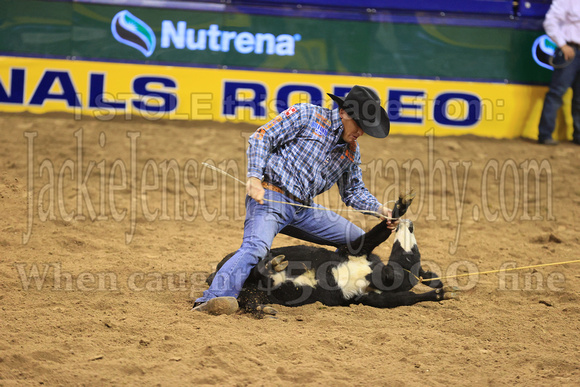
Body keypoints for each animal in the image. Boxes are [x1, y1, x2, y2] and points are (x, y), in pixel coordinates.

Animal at [206, 191, 456, 316]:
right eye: (410, 254)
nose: (409, 224)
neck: (377, 275)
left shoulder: (369, 296)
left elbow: (404, 298)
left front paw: (442, 293)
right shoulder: (355, 249)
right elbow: (376, 233)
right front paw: (400, 208)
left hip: (253, 292)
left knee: (251, 300)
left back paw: (265, 302)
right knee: (255, 269)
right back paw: (272, 265)